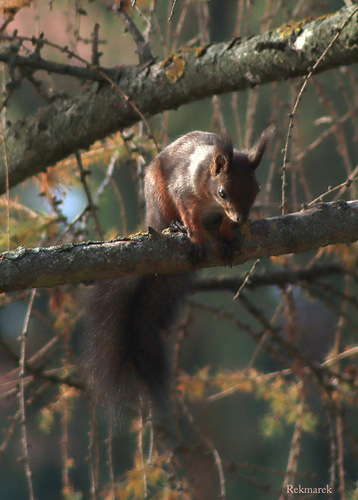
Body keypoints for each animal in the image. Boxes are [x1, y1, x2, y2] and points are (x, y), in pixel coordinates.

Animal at [81, 126, 274, 418]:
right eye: (222, 192)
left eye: (257, 188)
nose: (243, 218)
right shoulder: (184, 192)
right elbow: (190, 216)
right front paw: (195, 238)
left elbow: (225, 226)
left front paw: (229, 236)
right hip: (160, 197)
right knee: (168, 219)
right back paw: (175, 226)